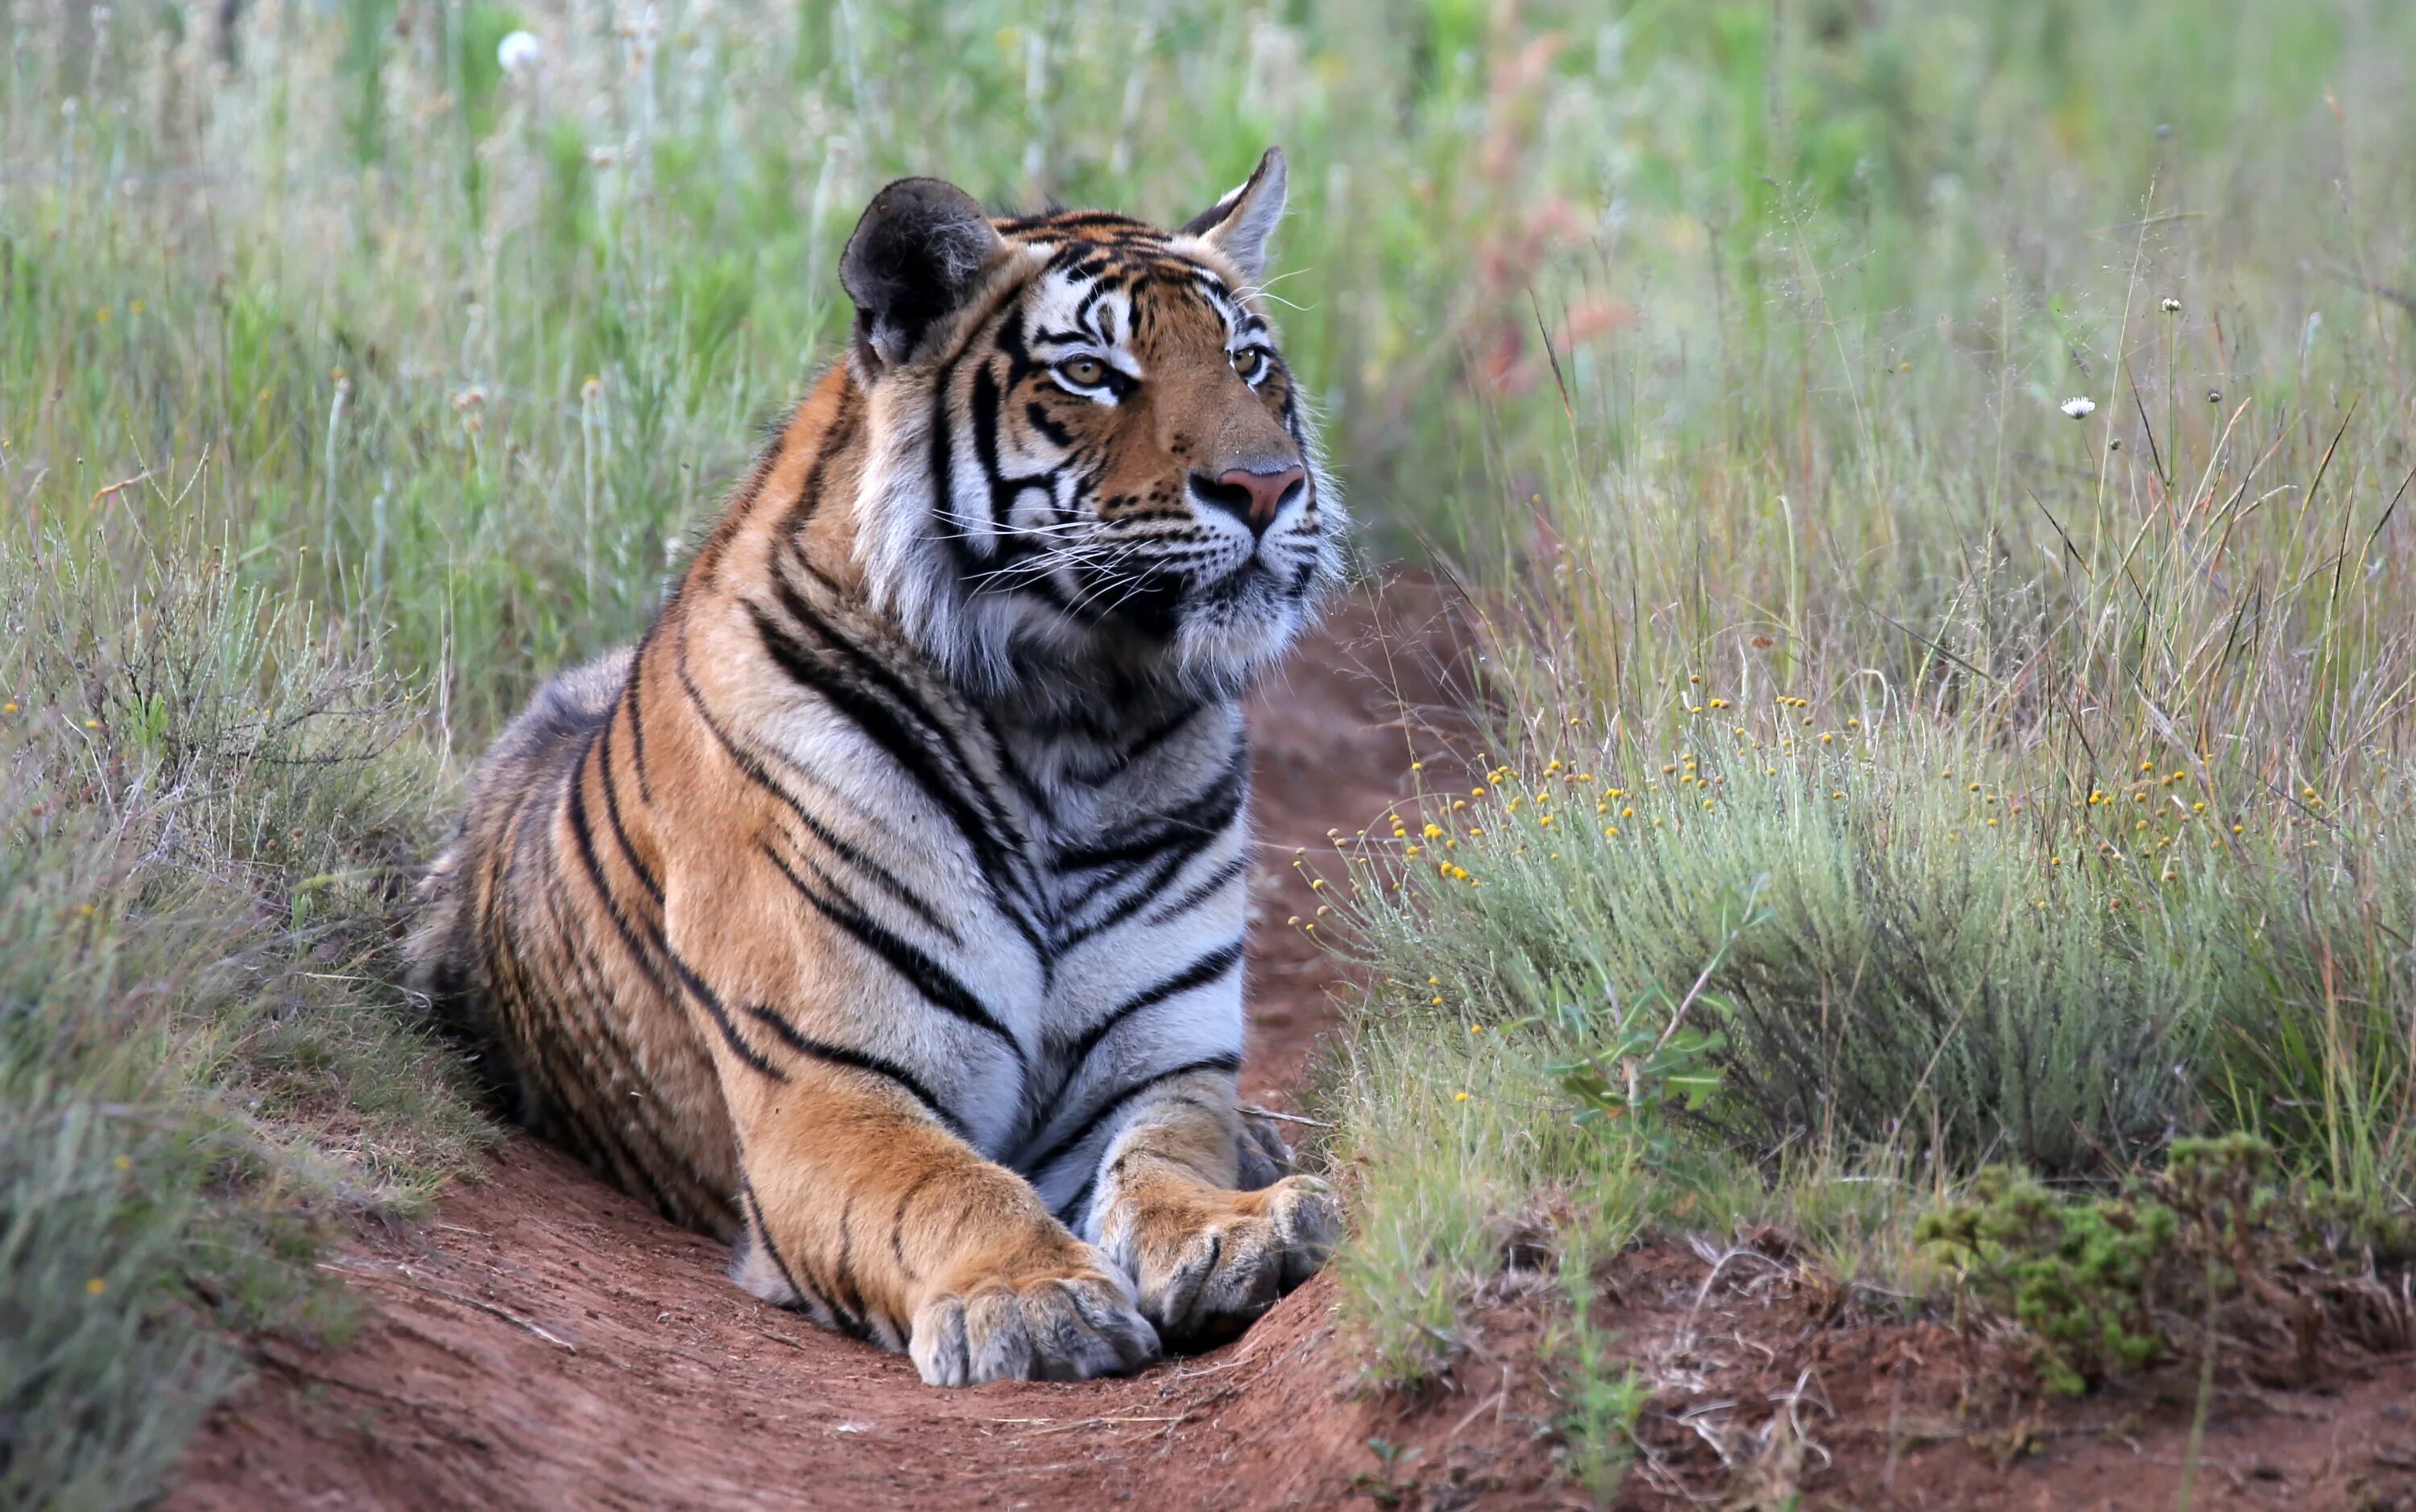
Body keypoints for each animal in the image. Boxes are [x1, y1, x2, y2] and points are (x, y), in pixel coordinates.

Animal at [420, 150, 1363, 1382]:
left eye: (1249, 360)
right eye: (1092, 372)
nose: (1266, 486)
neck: (1071, 725)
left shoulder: (1156, 1070)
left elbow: (1167, 1158)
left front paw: (1236, 1229)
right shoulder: (831, 1086)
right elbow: (949, 1186)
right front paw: (1032, 1299)